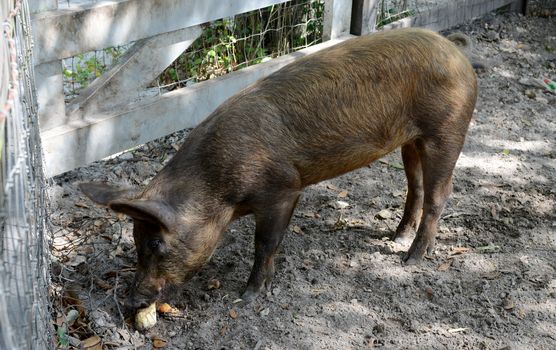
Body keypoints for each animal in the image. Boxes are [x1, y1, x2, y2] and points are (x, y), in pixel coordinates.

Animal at [79, 28, 478, 310]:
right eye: (135, 240)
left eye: (156, 243)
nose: (130, 301)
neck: (218, 191)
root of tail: (455, 49)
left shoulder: (283, 189)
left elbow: (265, 243)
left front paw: (247, 297)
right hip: (411, 140)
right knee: (416, 186)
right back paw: (395, 238)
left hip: (447, 129)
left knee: (441, 193)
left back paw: (411, 259)